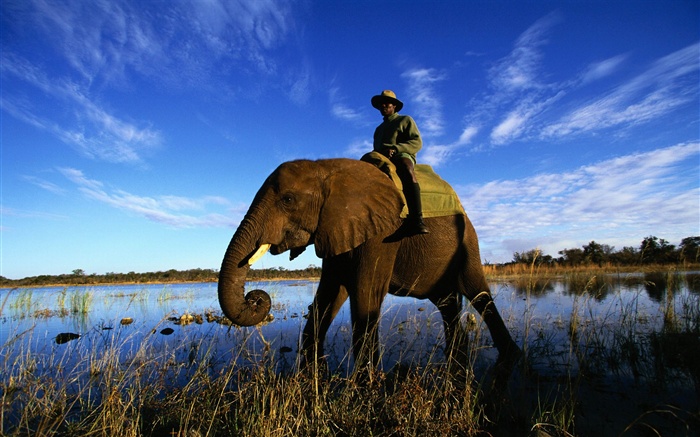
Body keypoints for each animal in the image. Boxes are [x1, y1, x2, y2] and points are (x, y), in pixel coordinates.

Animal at [219, 157, 520, 372]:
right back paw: (457, 355)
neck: (327, 168)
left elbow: (365, 292)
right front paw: (313, 363)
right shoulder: (336, 229)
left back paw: (510, 356)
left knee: (479, 294)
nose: (255, 298)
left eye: (288, 200)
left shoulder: (383, 234)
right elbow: (328, 295)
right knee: (446, 302)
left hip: (468, 243)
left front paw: (367, 380)